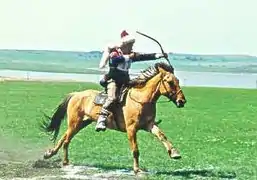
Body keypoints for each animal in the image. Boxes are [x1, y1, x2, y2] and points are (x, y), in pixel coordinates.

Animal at [41, 61, 186, 173]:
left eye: (178, 81)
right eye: (170, 82)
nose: (182, 101)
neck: (141, 100)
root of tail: (76, 94)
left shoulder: (149, 125)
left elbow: (162, 135)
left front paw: (175, 153)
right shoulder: (131, 129)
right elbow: (135, 149)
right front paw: (137, 169)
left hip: (81, 123)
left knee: (64, 137)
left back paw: (50, 154)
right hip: (74, 123)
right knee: (66, 140)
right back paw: (65, 162)